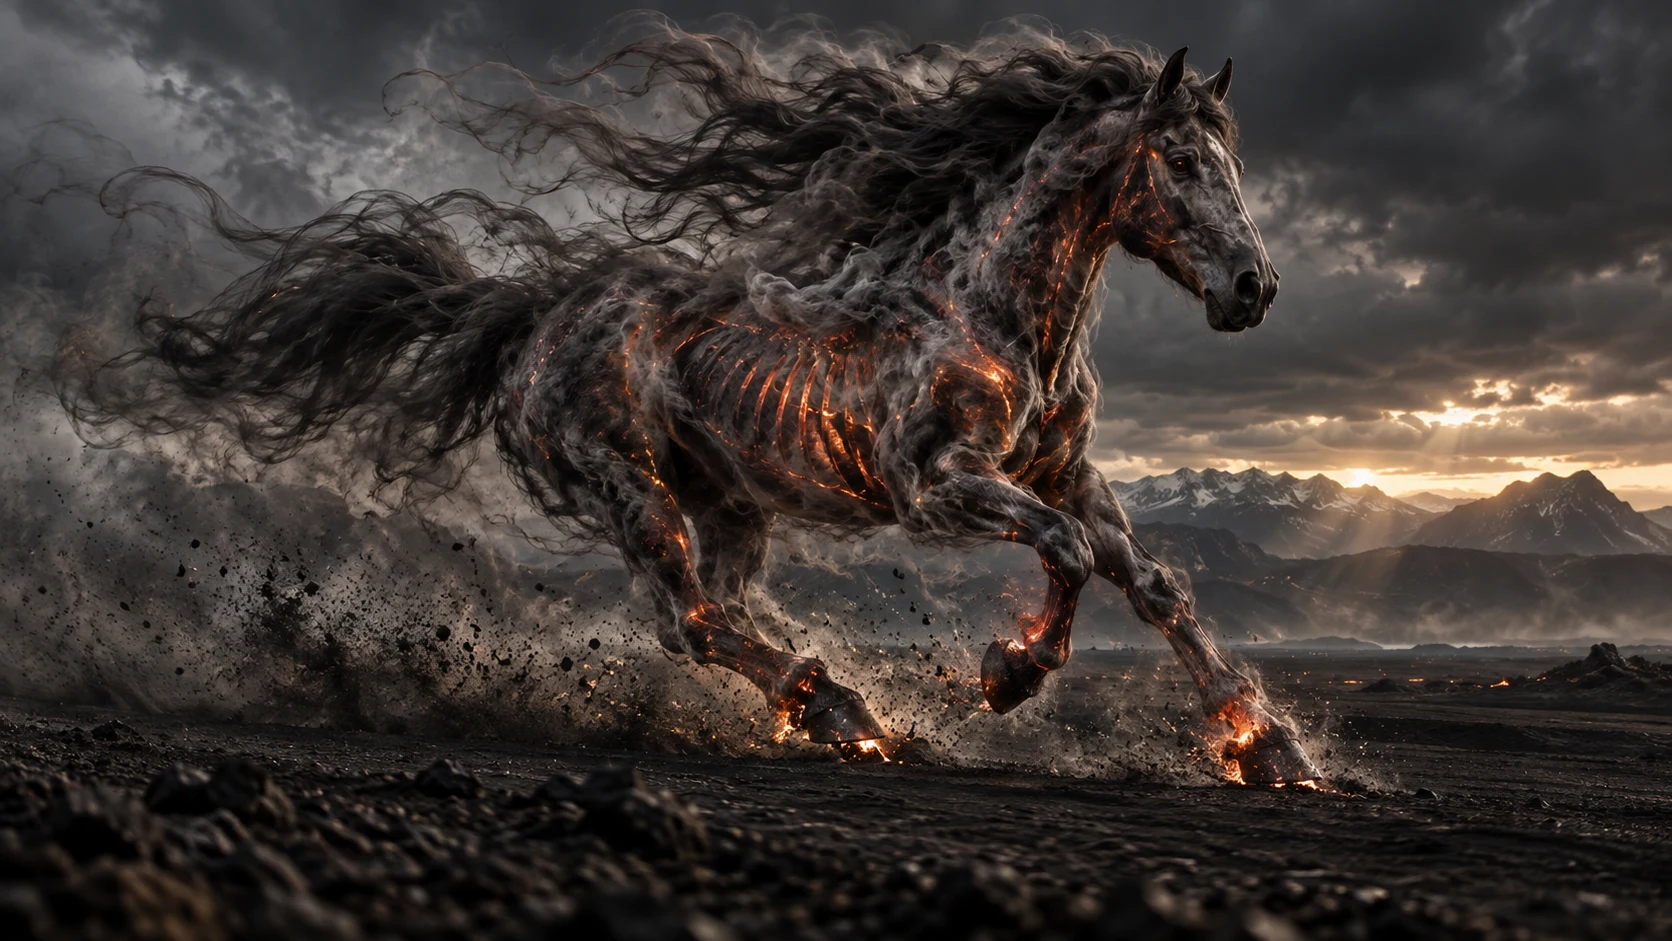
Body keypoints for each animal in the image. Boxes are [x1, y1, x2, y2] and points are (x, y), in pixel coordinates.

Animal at [60, 25, 1318, 784]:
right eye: (1179, 161)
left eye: (1228, 158)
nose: (1253, 288)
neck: (996, 314)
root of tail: (534, 317)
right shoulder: (939, 482)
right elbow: (1065, 554)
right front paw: (1006, 675)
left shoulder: (1067, 469)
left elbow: (1148, 580)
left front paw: (1272, 749)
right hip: (630, 489)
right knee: (691, 618)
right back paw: (846, 711)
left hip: (730, 502)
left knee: (721, 604)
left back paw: (835, 706)